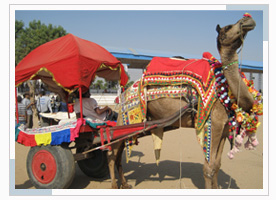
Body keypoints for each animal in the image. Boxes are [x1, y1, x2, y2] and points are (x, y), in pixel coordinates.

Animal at [106, 14, 262, 189]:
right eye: (227, 27)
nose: (247, 19)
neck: (225, 90)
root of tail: (123, 94)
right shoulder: (212, 125)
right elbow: (208, 168)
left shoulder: (224, 129)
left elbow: (217, 165)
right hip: (125, 118)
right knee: (112, 153)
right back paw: (114, 185)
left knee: (119, 153)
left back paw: (125, 184)